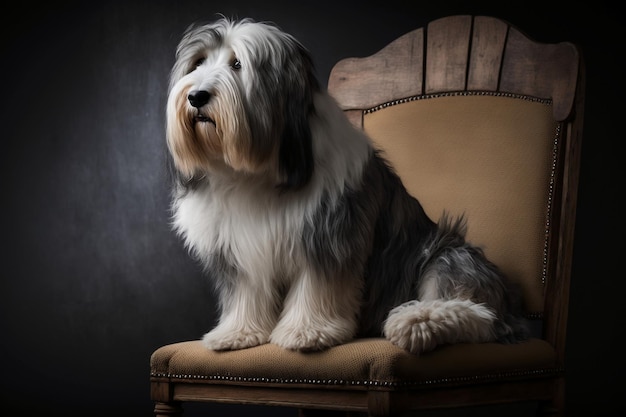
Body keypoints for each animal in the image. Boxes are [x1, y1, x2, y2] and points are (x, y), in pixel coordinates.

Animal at [165, 17, 528, 354]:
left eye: (237, 64)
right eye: (197, 63)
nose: (196, 96)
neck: (260, 168)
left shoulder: (330, 237)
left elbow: (317, 288)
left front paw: (308, 333)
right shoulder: (239, 249)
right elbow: (245, 293)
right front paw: (236, 334)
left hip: (447, 254)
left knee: (474, 314)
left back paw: (415, 322)